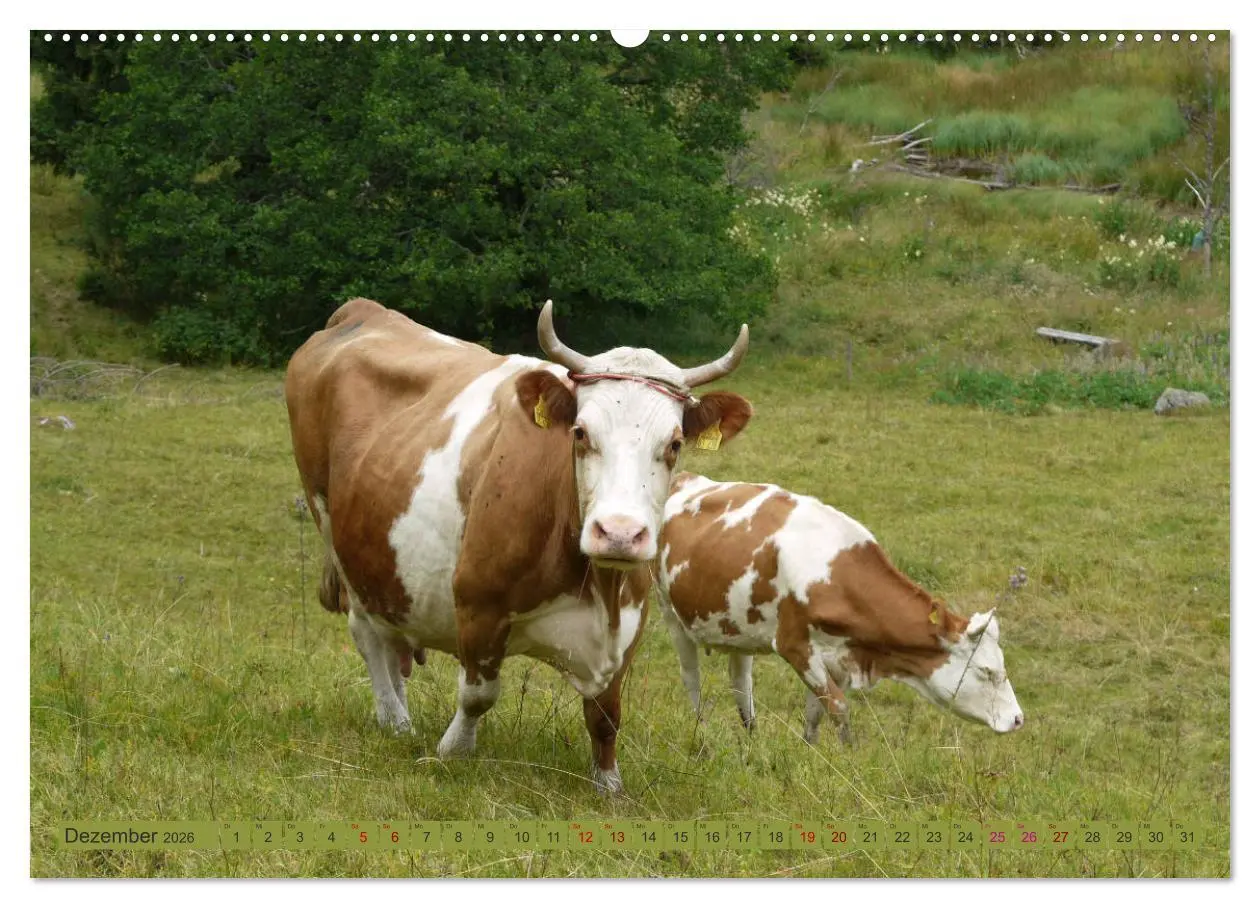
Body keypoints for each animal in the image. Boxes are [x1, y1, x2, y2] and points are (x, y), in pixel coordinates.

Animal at [284, 299, 753, 793]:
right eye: (580, 433)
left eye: (675, 443)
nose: (619, 533)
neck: (596, 585)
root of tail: (361, 311)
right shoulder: (478, 602)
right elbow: (478, 694)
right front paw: (452, 752)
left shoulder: (628, 623)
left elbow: (606, 714)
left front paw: (609, 785)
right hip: (333, 532)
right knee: (367, 634)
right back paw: (395, 721)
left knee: (391, 635)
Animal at [656, 473, 1024, 745]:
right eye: (986, 672)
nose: (1018, 719)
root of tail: (686, 478)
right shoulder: (795, 646)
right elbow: (839, 709)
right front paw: (848, 759)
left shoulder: (839, 657)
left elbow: (817, 714)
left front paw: (810, 755)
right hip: (670, 614)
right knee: (692, 679)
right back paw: (702, 738)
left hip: (737, 627)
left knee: (740, 682)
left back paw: (752, 740)